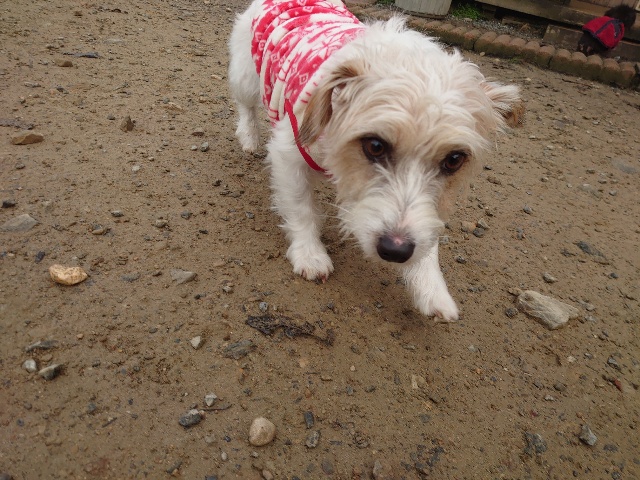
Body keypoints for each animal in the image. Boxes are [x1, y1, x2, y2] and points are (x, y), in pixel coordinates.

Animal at [228, 0, 520, 322]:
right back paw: (249, 136)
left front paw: (431, 287)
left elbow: (427, 231)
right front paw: (310, 253)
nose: (396, 250)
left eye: (454, 160)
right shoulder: (289, 154)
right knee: (245, 105)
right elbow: (301, 207)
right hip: (246, 77)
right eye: (375, 146)